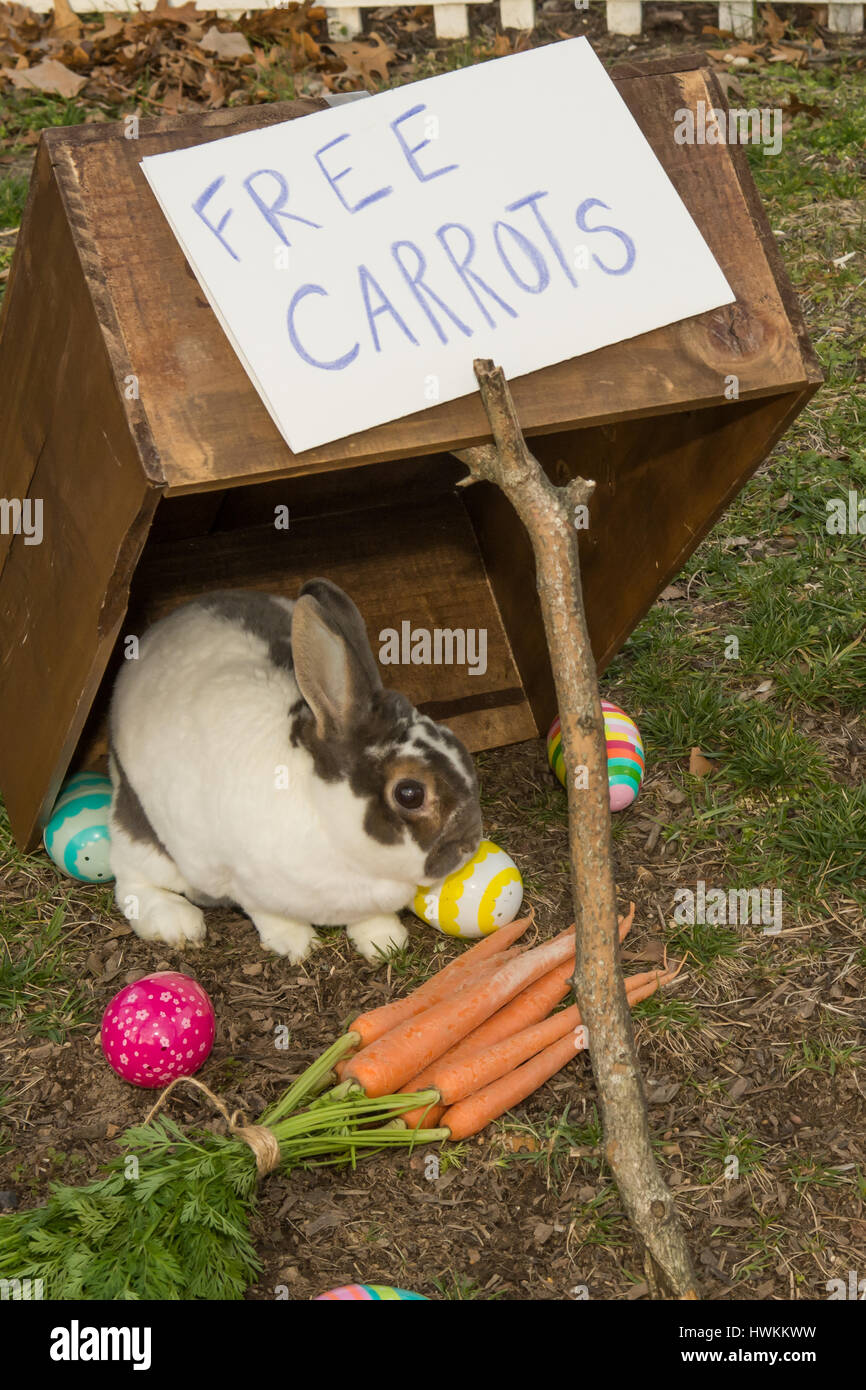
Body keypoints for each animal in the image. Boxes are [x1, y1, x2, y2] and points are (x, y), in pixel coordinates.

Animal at [107, 579, 483, 964]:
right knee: (129, 874)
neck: (325, 816)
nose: (469, 844)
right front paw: (298, 946)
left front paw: (385, 942)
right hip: (144, 830)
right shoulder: (244, 882)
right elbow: (269, 916)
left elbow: (371, 918)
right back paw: (176, 922)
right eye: (410, 793)